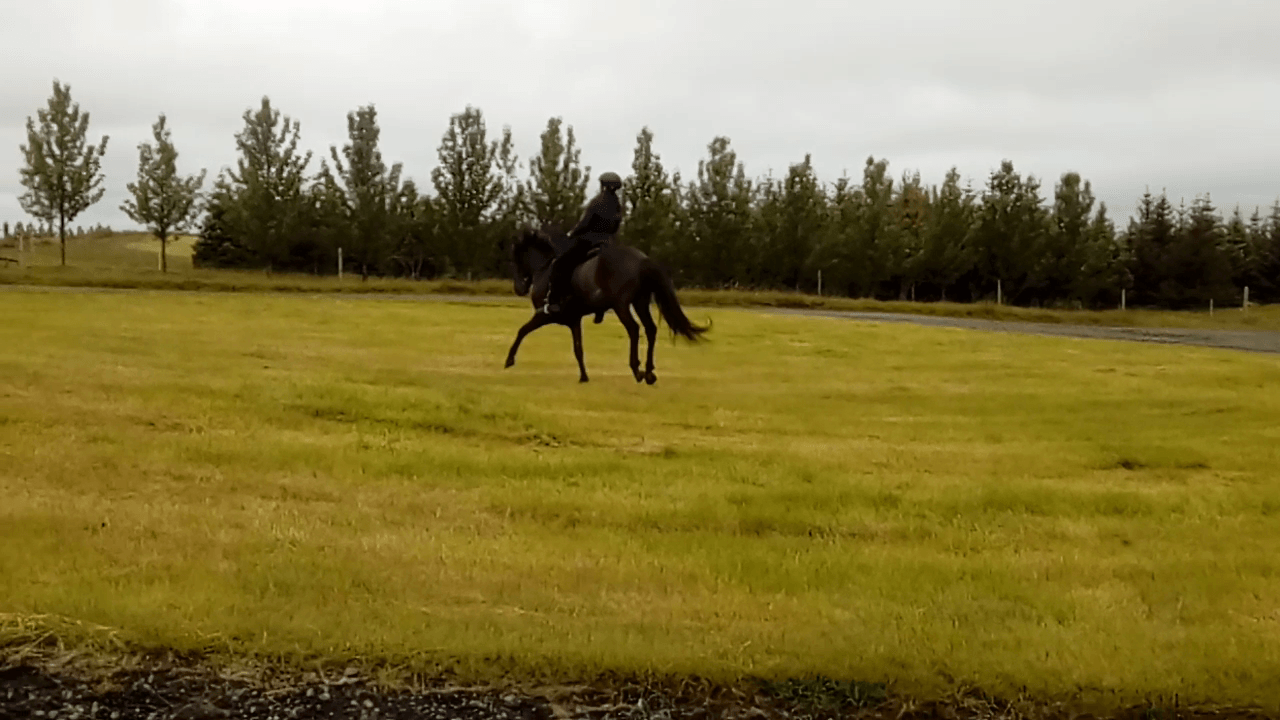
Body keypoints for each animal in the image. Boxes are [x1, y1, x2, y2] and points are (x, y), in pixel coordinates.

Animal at [504, 227, 709, 383]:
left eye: (515, 258)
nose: (518, 288)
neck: (544, 269)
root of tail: (642, 259)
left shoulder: (545, 314)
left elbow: (522, 331)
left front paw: (509, 360)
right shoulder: (574, 320)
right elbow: (578, 348)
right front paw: (584, 377)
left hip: (621, 305)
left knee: (634, 329)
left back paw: (637, 370)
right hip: (640, 302)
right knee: (650, 329)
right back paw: (649, 371)